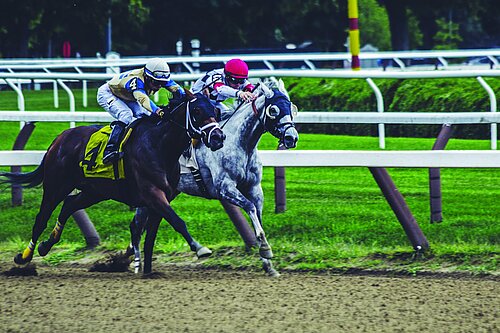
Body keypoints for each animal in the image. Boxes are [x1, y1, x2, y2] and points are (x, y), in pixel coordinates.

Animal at [0, 89, 223, 274]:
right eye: (196, 110)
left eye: (215, 110)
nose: (218, 137)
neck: (160, 145)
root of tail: (59, 138)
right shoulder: (152, 193)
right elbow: (177, 221)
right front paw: (200, 248)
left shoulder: (163, 197)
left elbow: (151, 235)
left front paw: (147, 270)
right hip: (56, 186)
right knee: (41, 220)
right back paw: (24, 257)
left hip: (95, 191)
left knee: (69, 206)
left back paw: (46, 245)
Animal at [131, 80, 298, 274]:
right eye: (274, 110)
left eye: (292, 107)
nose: (291, 137)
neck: (240, 143)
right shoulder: (225, 188)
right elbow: (249, 207)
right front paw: (264, 248)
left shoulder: (254, 188)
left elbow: (258, 215)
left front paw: (268, 263)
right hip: (150, 190)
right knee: (136, 226)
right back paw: (135, 263)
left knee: (140, 224)